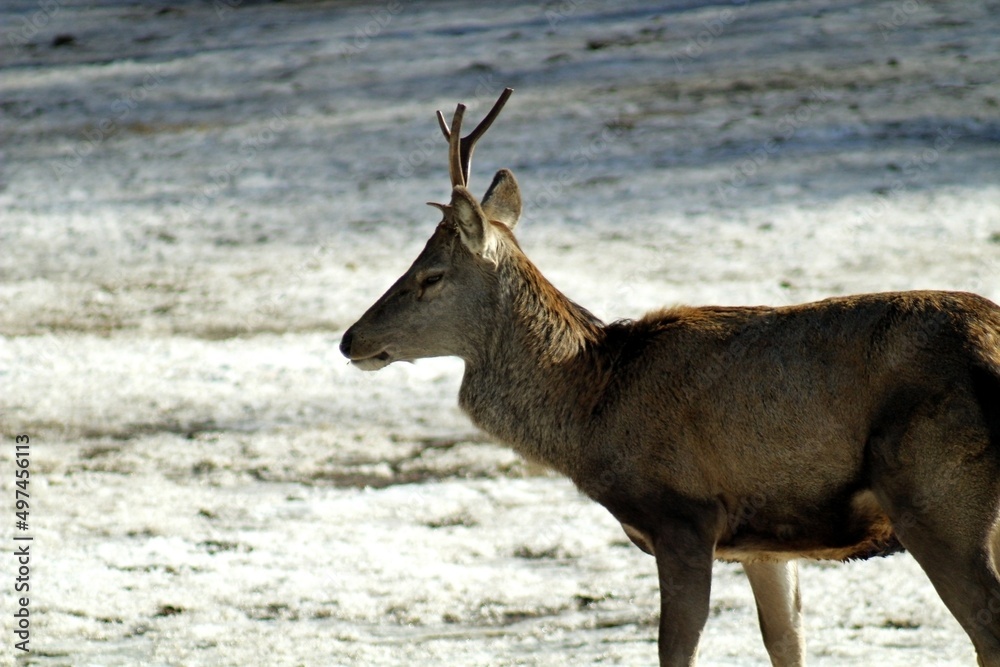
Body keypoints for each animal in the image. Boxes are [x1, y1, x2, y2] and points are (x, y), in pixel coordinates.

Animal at [339, 88, 1000, 666]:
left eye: (431, 275)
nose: (350, 339)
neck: (592, 407)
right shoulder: (764, 542)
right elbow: (786, 644)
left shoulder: (682, 514)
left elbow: (675, 650)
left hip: (937, 496)